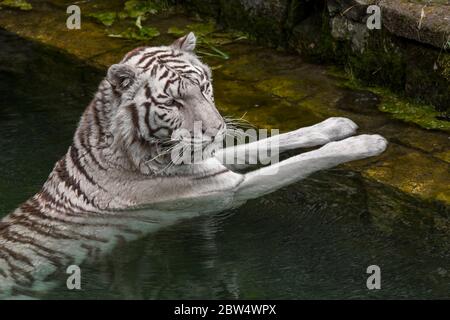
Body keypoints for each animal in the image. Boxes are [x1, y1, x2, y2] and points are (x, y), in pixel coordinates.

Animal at [0, 33, 386, 298]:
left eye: (204, 86)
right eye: (172, 102)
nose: (216, 129)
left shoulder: (209, 162)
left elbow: (268, 144)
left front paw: (337, 125)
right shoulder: (226, 189)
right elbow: (303, 161)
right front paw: (367, 143)